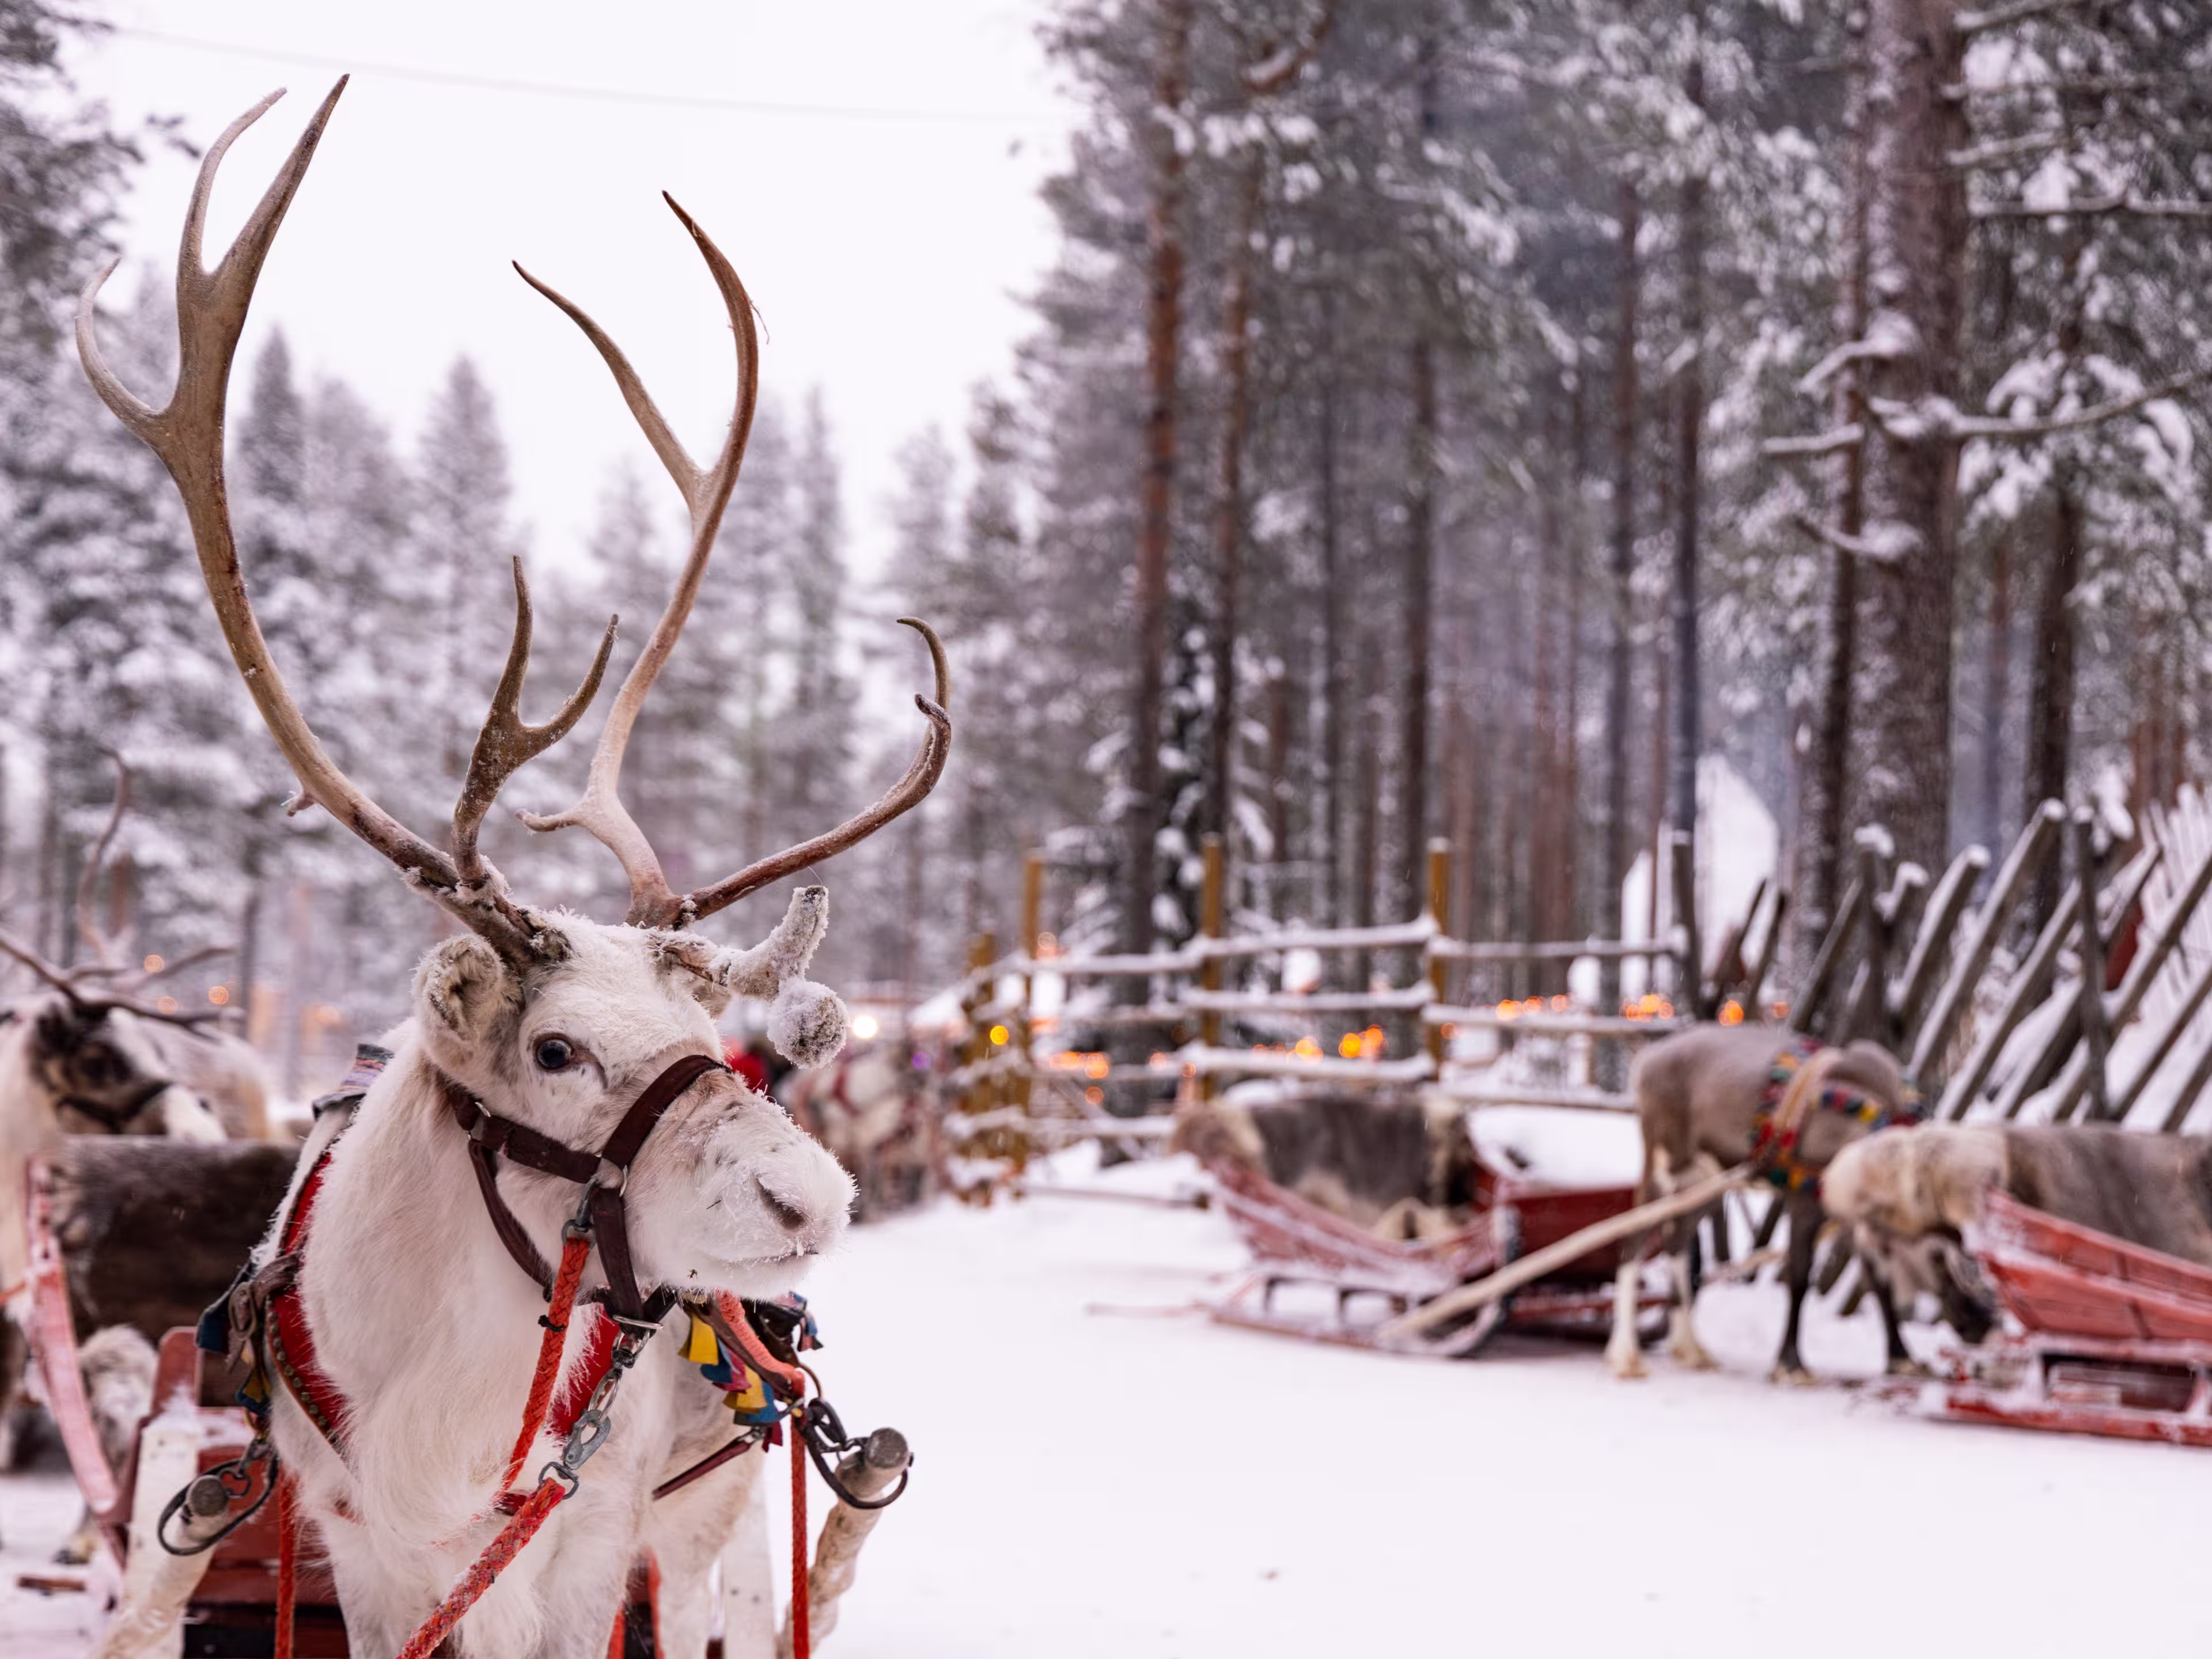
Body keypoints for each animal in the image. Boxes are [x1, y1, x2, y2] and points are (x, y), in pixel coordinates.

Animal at [74, 78, 949, 1659]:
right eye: (554, 1048)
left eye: (710, 1031)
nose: (816, 1200)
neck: (453, 1416)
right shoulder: (365, 1549)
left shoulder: (587, 1537)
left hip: (721, 1512)